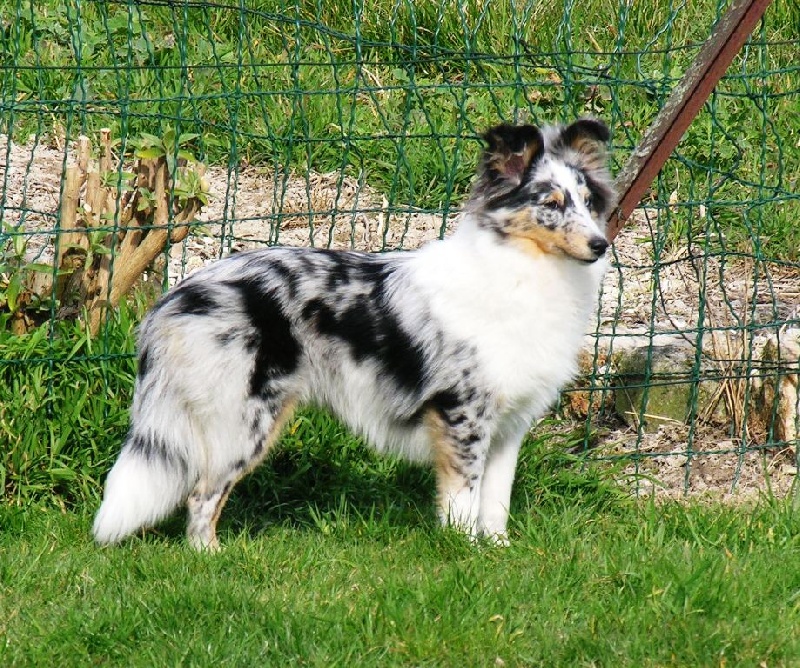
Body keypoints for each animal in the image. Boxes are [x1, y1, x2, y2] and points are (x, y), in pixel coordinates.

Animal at [93, 117, 615, 549]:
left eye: (589, 203)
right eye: (551, 204)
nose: (601, 245)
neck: (523, 270)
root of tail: (175, 298)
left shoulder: (509, 425)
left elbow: (496, 504)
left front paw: (498, 552)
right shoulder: (462, 416)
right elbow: (463, 501)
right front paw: (465, 551)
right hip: (244, 421)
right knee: (202, 496)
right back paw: (212, 558)